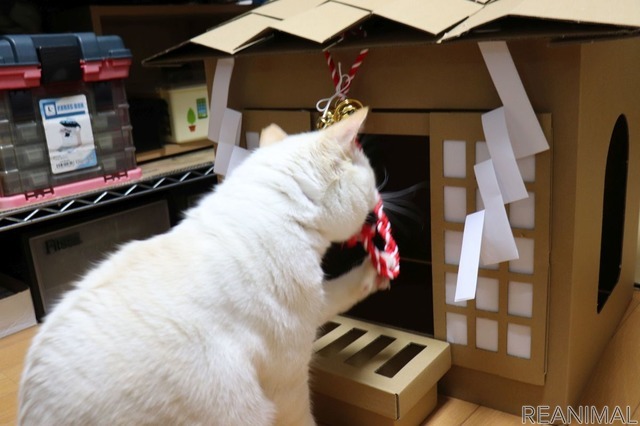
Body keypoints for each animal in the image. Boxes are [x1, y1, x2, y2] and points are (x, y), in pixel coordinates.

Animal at [18, 108, 390, 424]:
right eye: (371, 180)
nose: (380, 198)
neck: (268, 206)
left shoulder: (313, 304)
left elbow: (338, 292)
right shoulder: (290, 373)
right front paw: (376, 270)